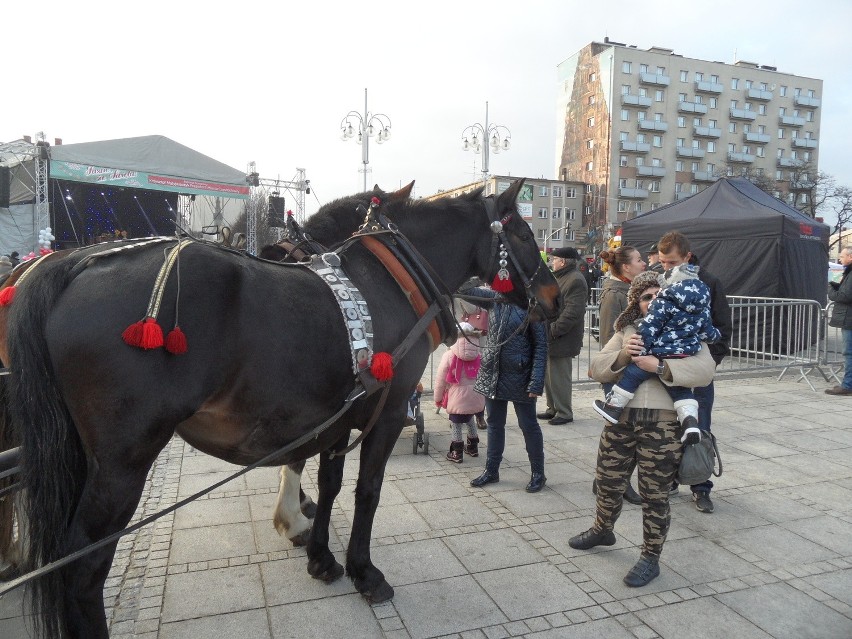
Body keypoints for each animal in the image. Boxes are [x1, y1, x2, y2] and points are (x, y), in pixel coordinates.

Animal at [8, 178, 564, 636]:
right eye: (523, 235)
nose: (555, 298)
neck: (387, 281)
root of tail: (75, 263)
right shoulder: (383, 417)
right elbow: (366, 492)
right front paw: (363, 571)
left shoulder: (340, 413)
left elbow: (330, 482)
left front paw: (320, 555)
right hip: (122, 462)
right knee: (82, 566)